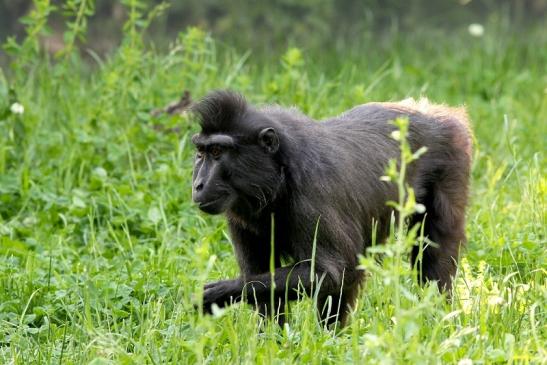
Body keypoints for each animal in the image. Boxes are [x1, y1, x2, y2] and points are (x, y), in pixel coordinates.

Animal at [191, 91, 474, 324]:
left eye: (217, 152)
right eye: (201, 153)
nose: (197, 185)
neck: (280, 172)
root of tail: (436, 112)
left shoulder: (312, 195)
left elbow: (333, 273)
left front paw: (222, 293)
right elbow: (262, 280)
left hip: (453, 159)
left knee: (435, 250)